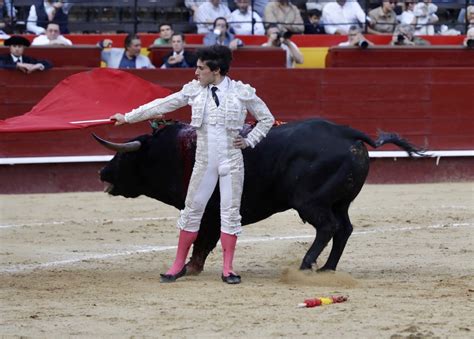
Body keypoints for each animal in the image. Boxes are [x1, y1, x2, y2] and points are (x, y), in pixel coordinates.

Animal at [93, 119, 422, 276]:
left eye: (123, 157)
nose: (102, 172)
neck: (175, 152)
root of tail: (347, 133)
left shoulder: (209, 210)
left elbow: (202, 241)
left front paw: (188, 269)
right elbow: (204, 242)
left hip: (310, 202)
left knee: (328, 227)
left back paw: (306, 265)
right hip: (340, 202)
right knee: (344, 229)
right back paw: (327, 267)